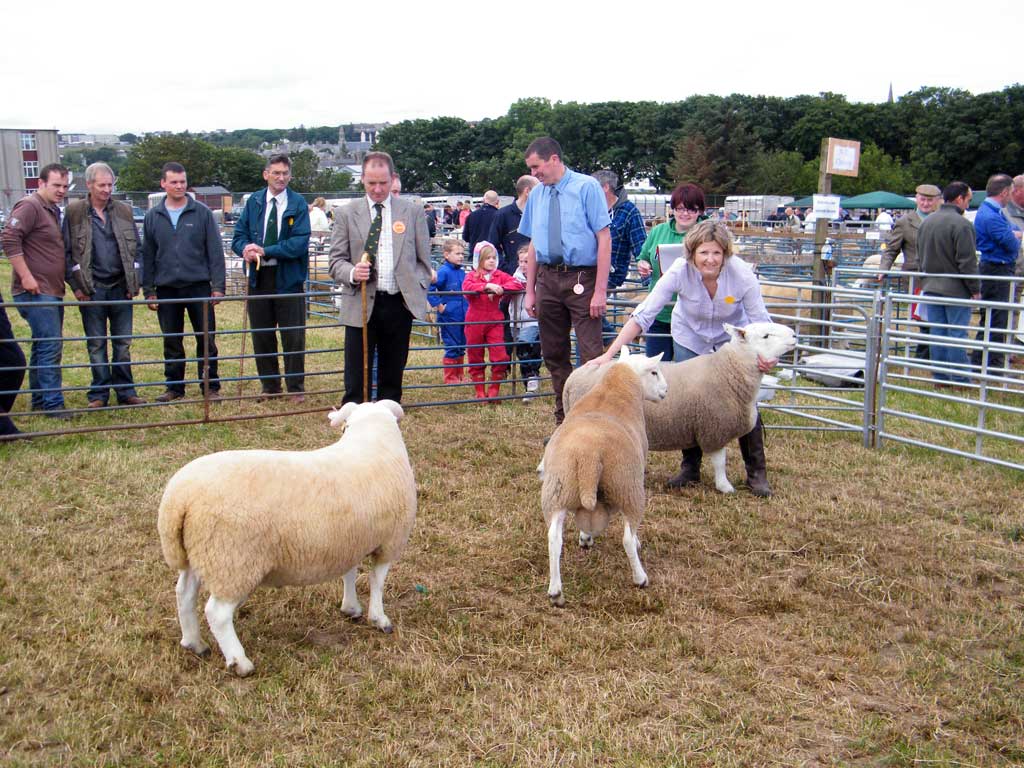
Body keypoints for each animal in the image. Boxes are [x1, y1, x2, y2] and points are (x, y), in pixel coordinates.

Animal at [157, 399, 413, 675]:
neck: (371, 435)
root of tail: (179, 498)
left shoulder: (351, 539)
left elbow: (349, 573)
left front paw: (351, 608)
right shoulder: (390, 541)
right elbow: (377, 582)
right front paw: (379, 619)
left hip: (202, 553)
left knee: (184, 593)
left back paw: (194, 643)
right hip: (233, 560)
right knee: (217, 613)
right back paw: (240, 662)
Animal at [540, 348, 667, 606]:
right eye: (654, 372)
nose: (665, 391)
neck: (616, 388)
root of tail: (588, 455)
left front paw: (585, 538)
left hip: (558, 489)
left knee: (554, 538)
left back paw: (556, 592)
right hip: (627, 486)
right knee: (627, 537)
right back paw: (640, 578)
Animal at [565, 321, 794, 495]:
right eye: (765, 336)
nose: (793, 335)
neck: (728, 370)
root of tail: (574, 377)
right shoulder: (714, 427)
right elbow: (720, 461)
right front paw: (724, 486)